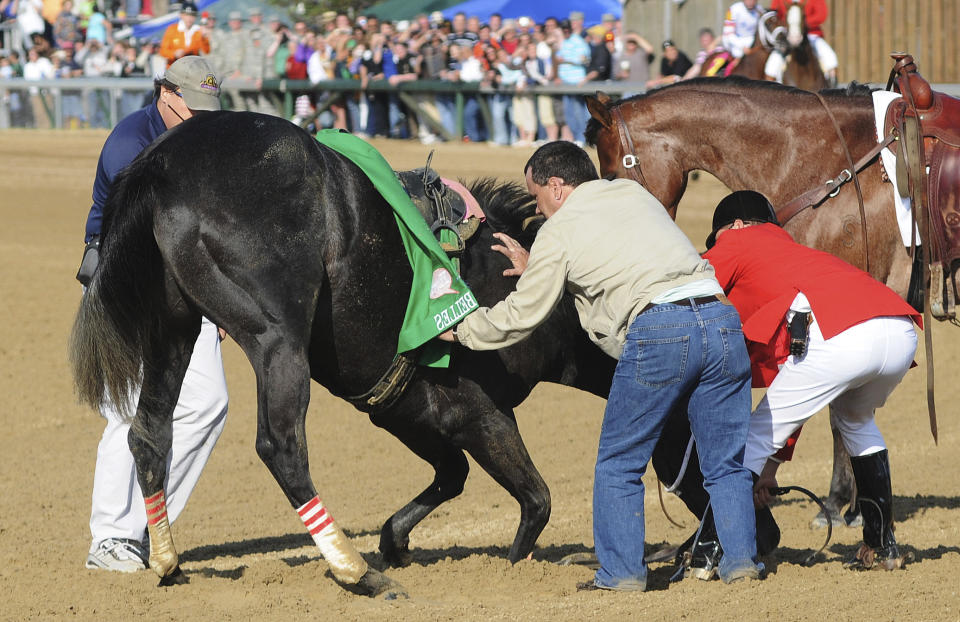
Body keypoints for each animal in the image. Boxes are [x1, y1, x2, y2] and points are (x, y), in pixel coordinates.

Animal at [71, 112, 620, 600]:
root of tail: (164, 160)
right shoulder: (480, 412)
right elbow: (535, 499)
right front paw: (516, 564)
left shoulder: (407, 412)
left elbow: (452, 476)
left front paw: (396, 543)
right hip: (278, 341)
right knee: (282, 449)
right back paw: (356, 572)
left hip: (173, 331)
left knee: (149, 434)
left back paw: (169, 563)